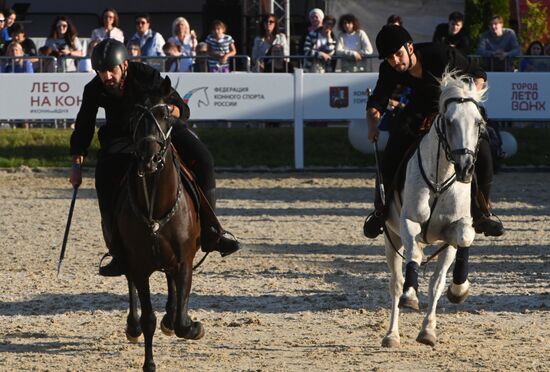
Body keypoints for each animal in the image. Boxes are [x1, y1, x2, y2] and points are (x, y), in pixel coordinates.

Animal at [115, 77, 205, 370]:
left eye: (165, 114)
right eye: (135, 116)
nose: (149, 158)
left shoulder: (185, 261)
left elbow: (182, 321)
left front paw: (192, 326)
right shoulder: (139, 267)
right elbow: (148, 319)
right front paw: (149, 363)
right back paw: (133, 326)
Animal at [382, 70, 490, 348]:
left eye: (478, 123)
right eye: (449, 122)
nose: (466, 167)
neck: (441, 179)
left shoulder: (455, 230)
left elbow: (460, 245)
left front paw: (458, 291)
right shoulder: (409, 222)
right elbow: (412, 260)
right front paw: (410, 295)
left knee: (433, 279)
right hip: (392, 237)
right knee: (396, 283)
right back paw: (392, 334)